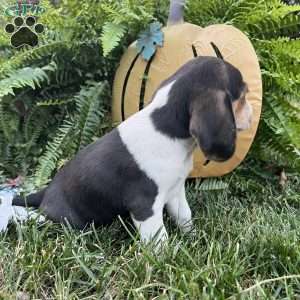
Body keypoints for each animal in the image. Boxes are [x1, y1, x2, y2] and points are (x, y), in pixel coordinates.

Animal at [13, 57, 253, 245]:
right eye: (242, 96)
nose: (252, 114)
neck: (167, 131)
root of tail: (45, 193)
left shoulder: (175, 191)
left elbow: (185, 216)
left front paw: (192, 238)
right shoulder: (145, 206)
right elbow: (159, 240)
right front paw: (165, 262)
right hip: (71, 221)